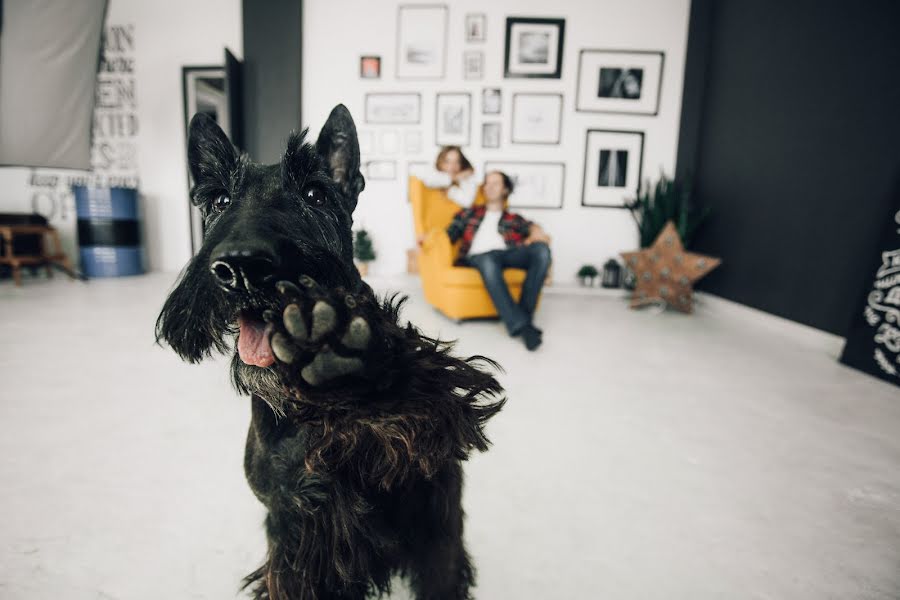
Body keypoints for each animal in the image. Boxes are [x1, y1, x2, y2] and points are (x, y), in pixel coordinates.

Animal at [156, 105, 506, 596]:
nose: (243, 268)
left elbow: (423, 397)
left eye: (315, 194)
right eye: (220, 200)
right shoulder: (294, 535)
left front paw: (350, 358)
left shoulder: (430, 467)